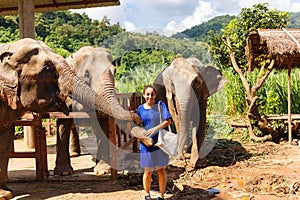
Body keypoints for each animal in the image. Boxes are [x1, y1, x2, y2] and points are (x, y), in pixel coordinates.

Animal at [0, 39, 150, 200]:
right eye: (86, 74)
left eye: (114, 71)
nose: (137, 117)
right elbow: (64, 123)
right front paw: (64, 173)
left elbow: (102, 122)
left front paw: (103, 170)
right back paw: (73, 155)